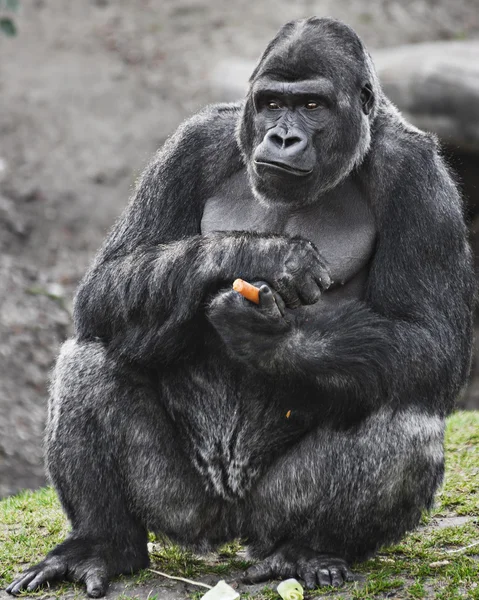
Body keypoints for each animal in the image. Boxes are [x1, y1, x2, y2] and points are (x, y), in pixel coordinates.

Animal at [7, 16, 476, 596]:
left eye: (313, 105)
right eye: (273, 103)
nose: (283, 137)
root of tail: (227, 527)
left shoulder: (419, 176)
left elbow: (432, 339)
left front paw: (273, 339)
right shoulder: (192, 142)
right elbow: (106, 285)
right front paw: (262, 254)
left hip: (270, 514)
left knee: (404, 408)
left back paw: (308, 550)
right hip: (181, 508)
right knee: (91, 355)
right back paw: (104, 542)